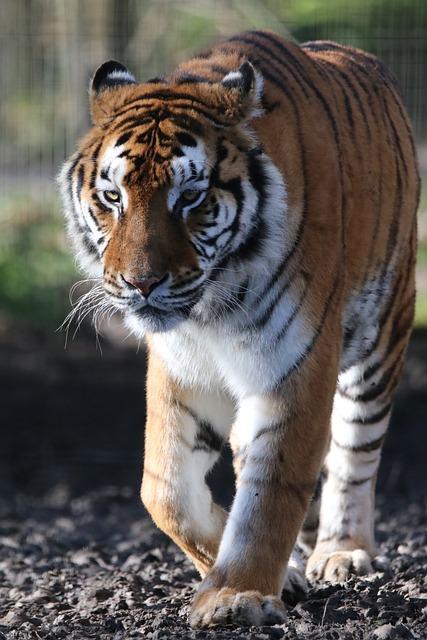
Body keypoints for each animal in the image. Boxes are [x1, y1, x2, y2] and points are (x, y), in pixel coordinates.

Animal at [58, 31, 420, 632]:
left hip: (382, 339)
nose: (140, 283)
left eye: (190, 198)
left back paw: (341, 550)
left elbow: (271, 494)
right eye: (113, 197)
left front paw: (237, 596)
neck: (211, 311)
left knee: (354, 455)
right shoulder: (179, 370)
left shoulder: (295, 367)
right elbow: (164, 490)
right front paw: (272, 577)